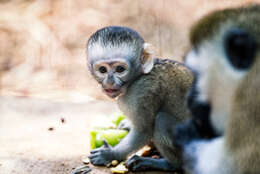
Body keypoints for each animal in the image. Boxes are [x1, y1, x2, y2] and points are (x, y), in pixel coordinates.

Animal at [84, 26, 192, 172]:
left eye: (120, 69)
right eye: (102, 70)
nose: (110, 82)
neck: (137, 78)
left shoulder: (142, 91)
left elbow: (143, 130)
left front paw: (110, 154)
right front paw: (127, 124)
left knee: (162, 120)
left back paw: (169, 164)